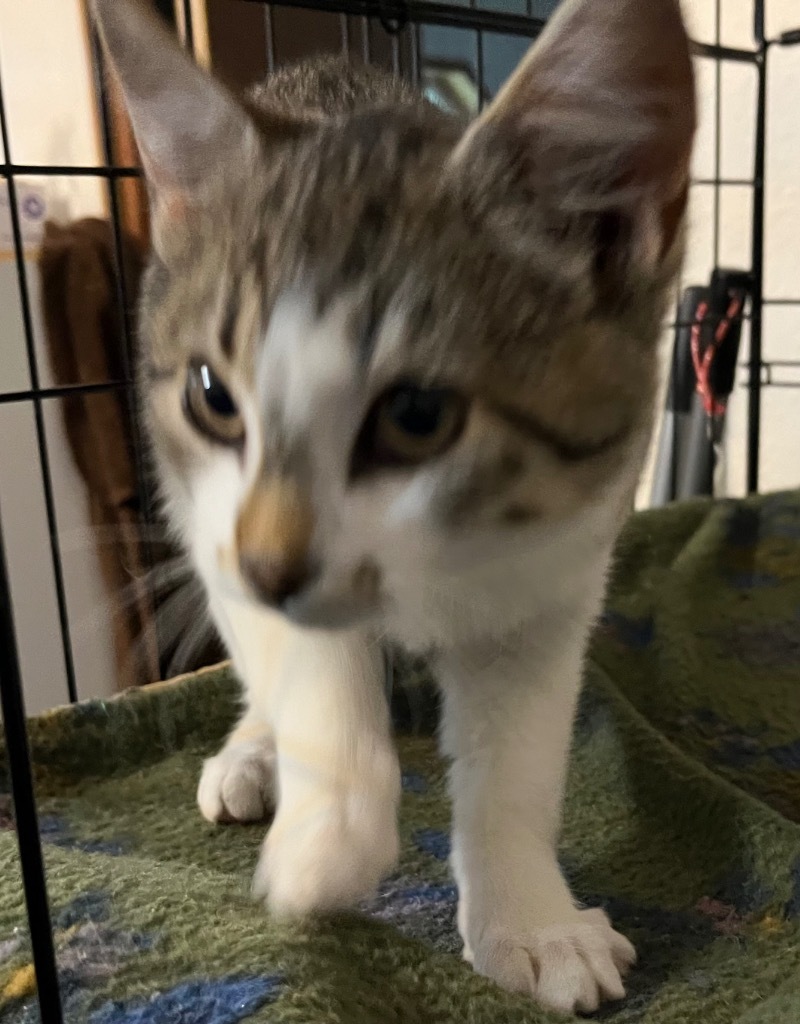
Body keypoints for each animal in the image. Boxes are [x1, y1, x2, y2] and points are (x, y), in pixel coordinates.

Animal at [93, 0, 692, 1007]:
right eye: (214, 397)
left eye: (418, 416)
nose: (269, 564)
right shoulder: (224, 531)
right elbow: (314, 673)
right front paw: (325, 845)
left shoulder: (560, 558)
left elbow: (516, 757)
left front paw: (532, 919)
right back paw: (256, 753)